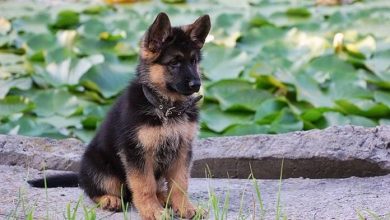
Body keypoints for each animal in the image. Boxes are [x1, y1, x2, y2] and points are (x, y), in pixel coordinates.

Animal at [28, 12, 210, 219]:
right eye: (174, 63)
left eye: (193, 61)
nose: (196, 85)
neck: (166, 108)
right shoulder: (136, 152)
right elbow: (144, 185)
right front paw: (152, 210)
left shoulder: (182, 150)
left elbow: (180, 183)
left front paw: (185, 208)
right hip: (101, 169)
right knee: (95, 190)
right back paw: (110, 199)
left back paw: (165, 198)